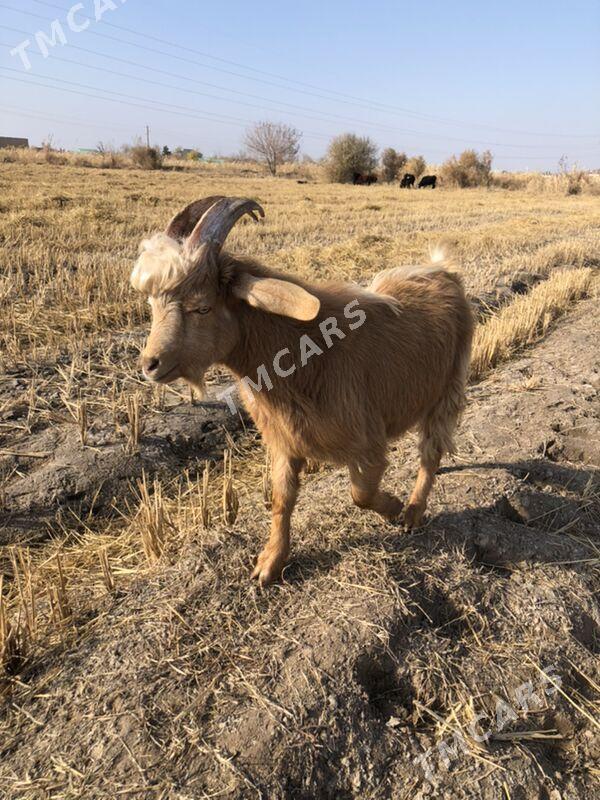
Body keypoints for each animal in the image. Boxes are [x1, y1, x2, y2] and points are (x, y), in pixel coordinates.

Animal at [130, 194, 474, 580]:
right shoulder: (283, 441)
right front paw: (270, 563)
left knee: (431, 450)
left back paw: (414, 511)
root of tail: (443, 271)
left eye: (202, 307)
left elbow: (361, 493)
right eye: (152, 304)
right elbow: (282, 499)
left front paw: (395, 506)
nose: (150, 364)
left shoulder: (368, 443)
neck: (303, 353)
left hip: (448, 388)